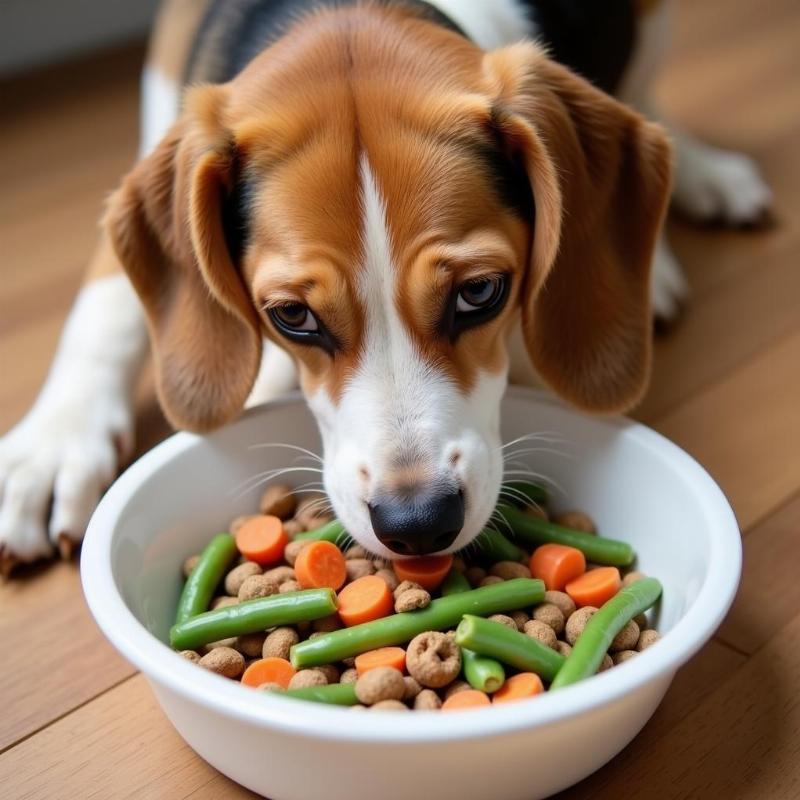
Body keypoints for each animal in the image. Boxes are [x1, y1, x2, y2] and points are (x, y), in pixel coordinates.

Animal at [1, 1, 776, 576]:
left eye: (481, 292)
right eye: (292, 315)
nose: (419, 523)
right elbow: (106, 302)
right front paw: (52, 445)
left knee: (646, 102)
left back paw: (697, 190)